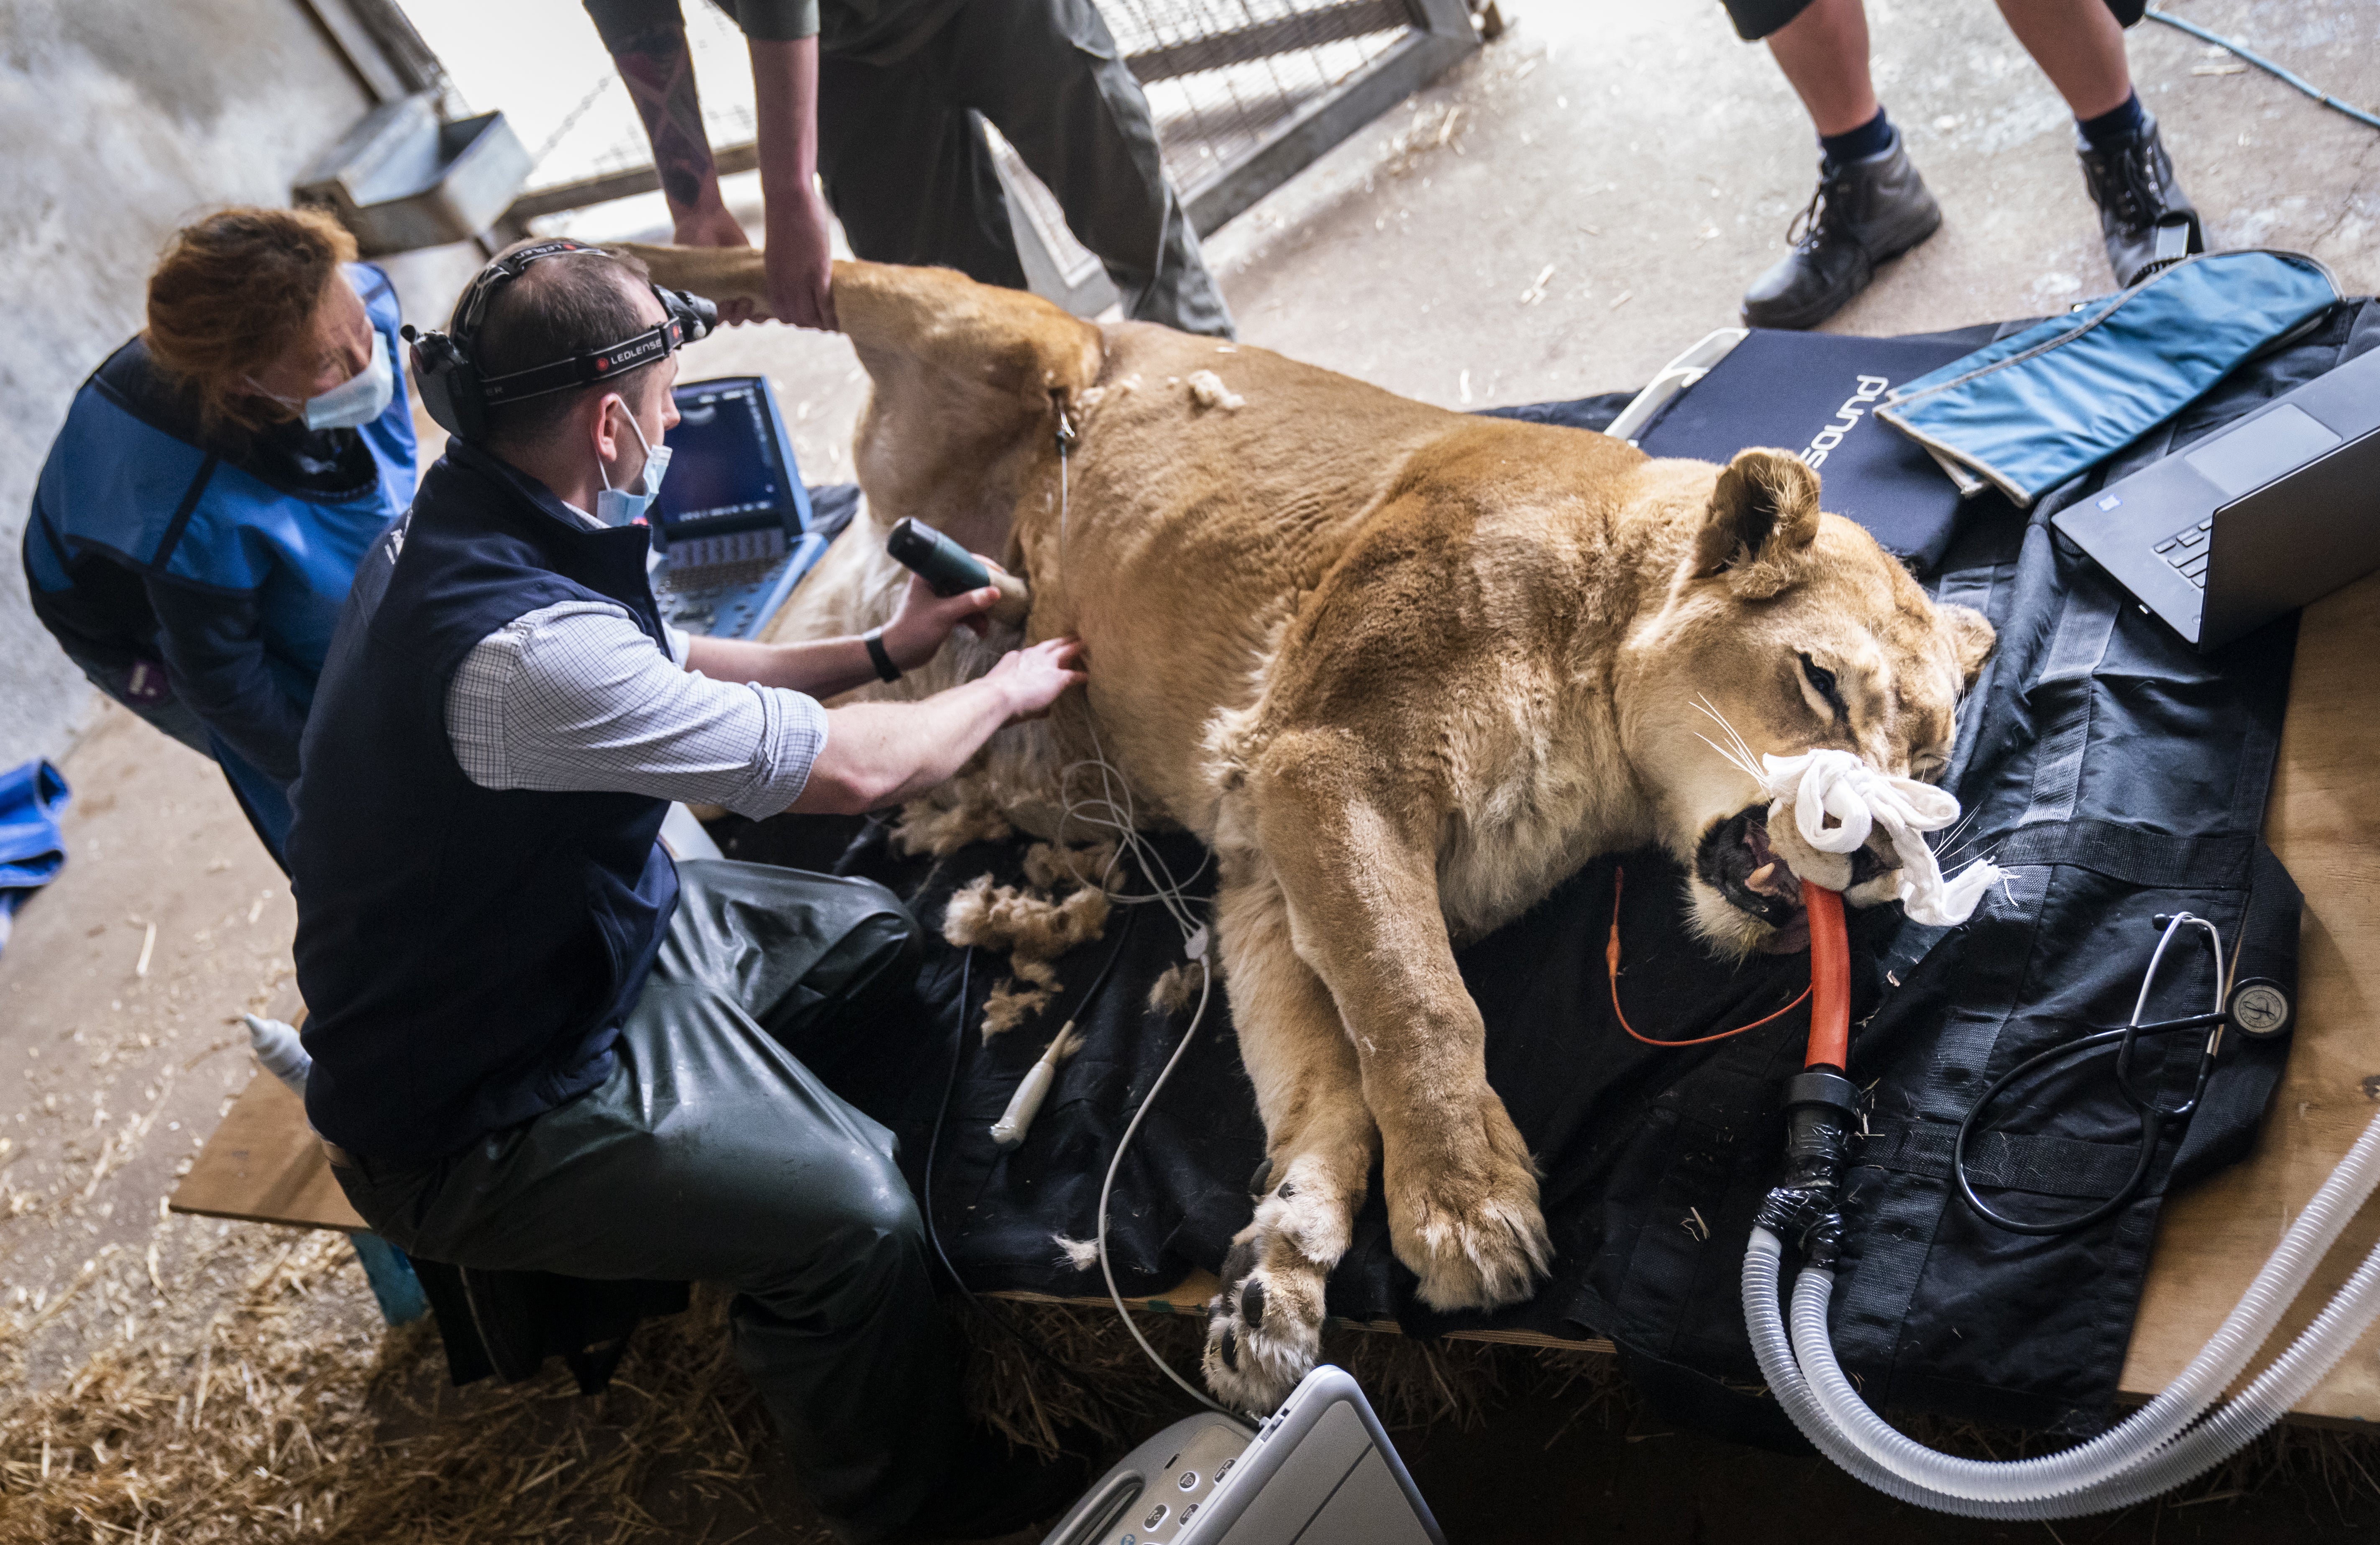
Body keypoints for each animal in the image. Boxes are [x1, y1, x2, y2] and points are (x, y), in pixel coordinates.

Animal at [614, 250, 1989, 1409]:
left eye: (1927, 765)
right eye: (1819, 683)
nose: (1876, 857)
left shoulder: (1266, 879)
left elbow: (1325, 1080)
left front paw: (1271, 1279)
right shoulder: (1326, 767)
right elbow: (1420, 1005)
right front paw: (1469, 1208)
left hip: (862, 681)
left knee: (750, 713)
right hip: (993, 323)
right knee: (788, 265)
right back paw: (633, 296)